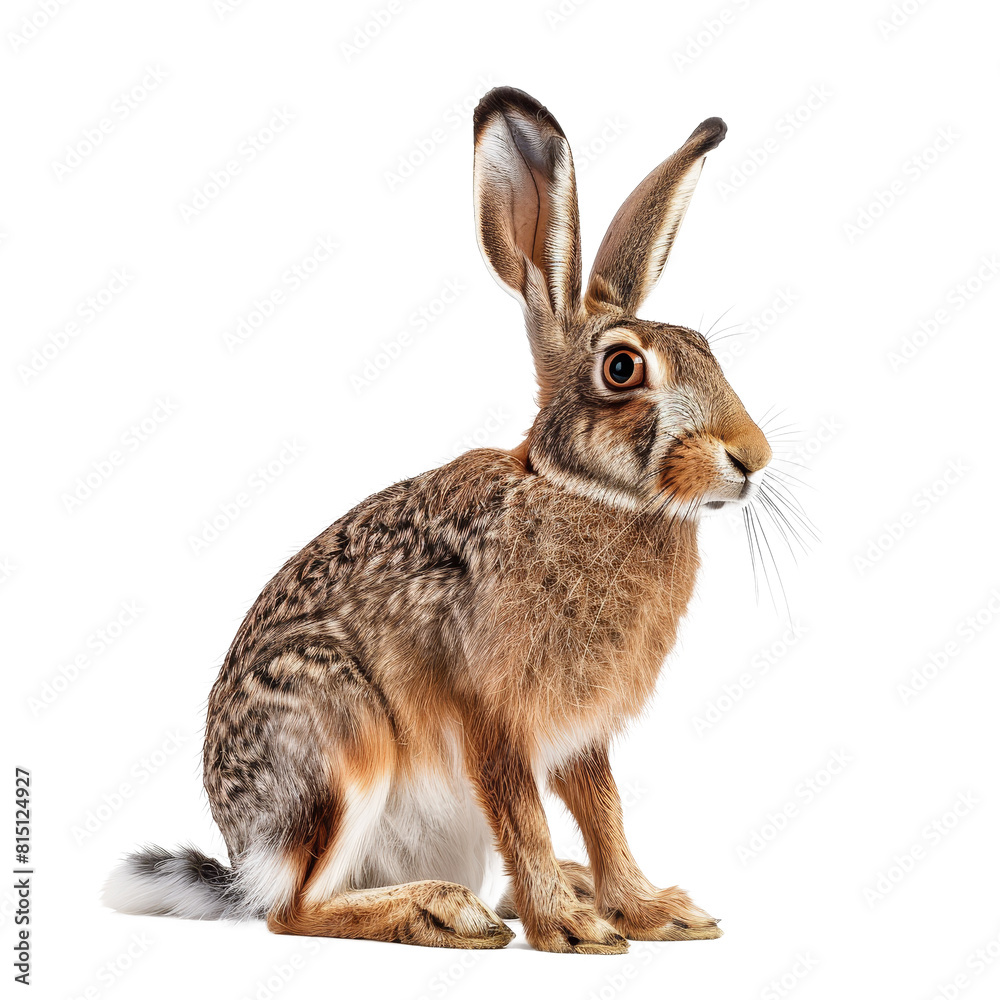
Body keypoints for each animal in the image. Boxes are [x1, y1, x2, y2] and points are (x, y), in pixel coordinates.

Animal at [104, 86, 771, 954]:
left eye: (704, 349)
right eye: (622, 368)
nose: (752, 457)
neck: (584, 492)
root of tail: (246, 858)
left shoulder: (580, 736)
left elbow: (603, 813)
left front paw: (652, 910)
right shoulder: (490, 714)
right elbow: (526, 814)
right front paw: (574, 931)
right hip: (339, 739)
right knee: (294, 911)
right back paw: (445, 910)